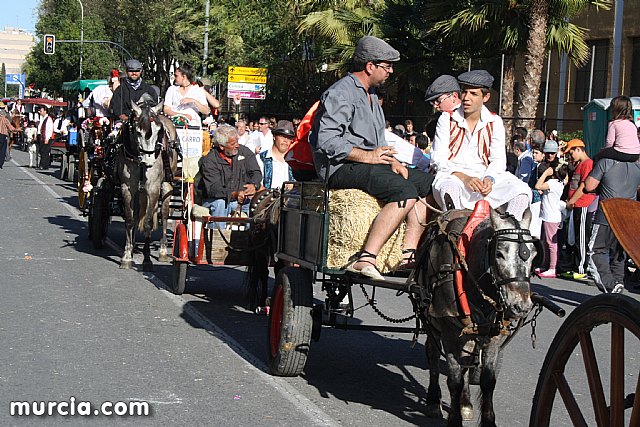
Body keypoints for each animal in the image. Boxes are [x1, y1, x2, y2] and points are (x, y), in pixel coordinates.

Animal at [117, 98, 177, 271]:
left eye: (159, 132)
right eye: (137, 132)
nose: (149, 161)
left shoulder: (153, 188)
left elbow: (149, 222)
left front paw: (147, 259)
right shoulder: (127, 188)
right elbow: (130, 219)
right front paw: (127, 255)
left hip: (166, 186)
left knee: (164, 214)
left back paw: (163, 250)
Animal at [417, 204, 541, 427]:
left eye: (534, 255)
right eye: (499, 253)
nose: (521, 306)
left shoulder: (493, 336)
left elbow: (487, 381)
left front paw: (486, 419)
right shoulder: (449, 333)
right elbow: (454, 380)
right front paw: (454, 419)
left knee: (467, 363)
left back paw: (465, 403)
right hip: (432, 321)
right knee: (432, 354)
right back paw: (433, 400)